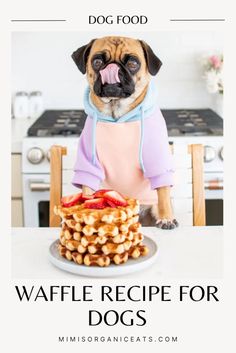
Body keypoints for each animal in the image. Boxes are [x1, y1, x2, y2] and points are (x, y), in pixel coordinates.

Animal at [71, 35, 178, 228]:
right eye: (97, 62)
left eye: (133, 63)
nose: (112, 67)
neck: (117, 115)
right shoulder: (89, 162)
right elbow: (87, 187)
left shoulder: (157, 160)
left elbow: (163, 190)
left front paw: (166, 217)